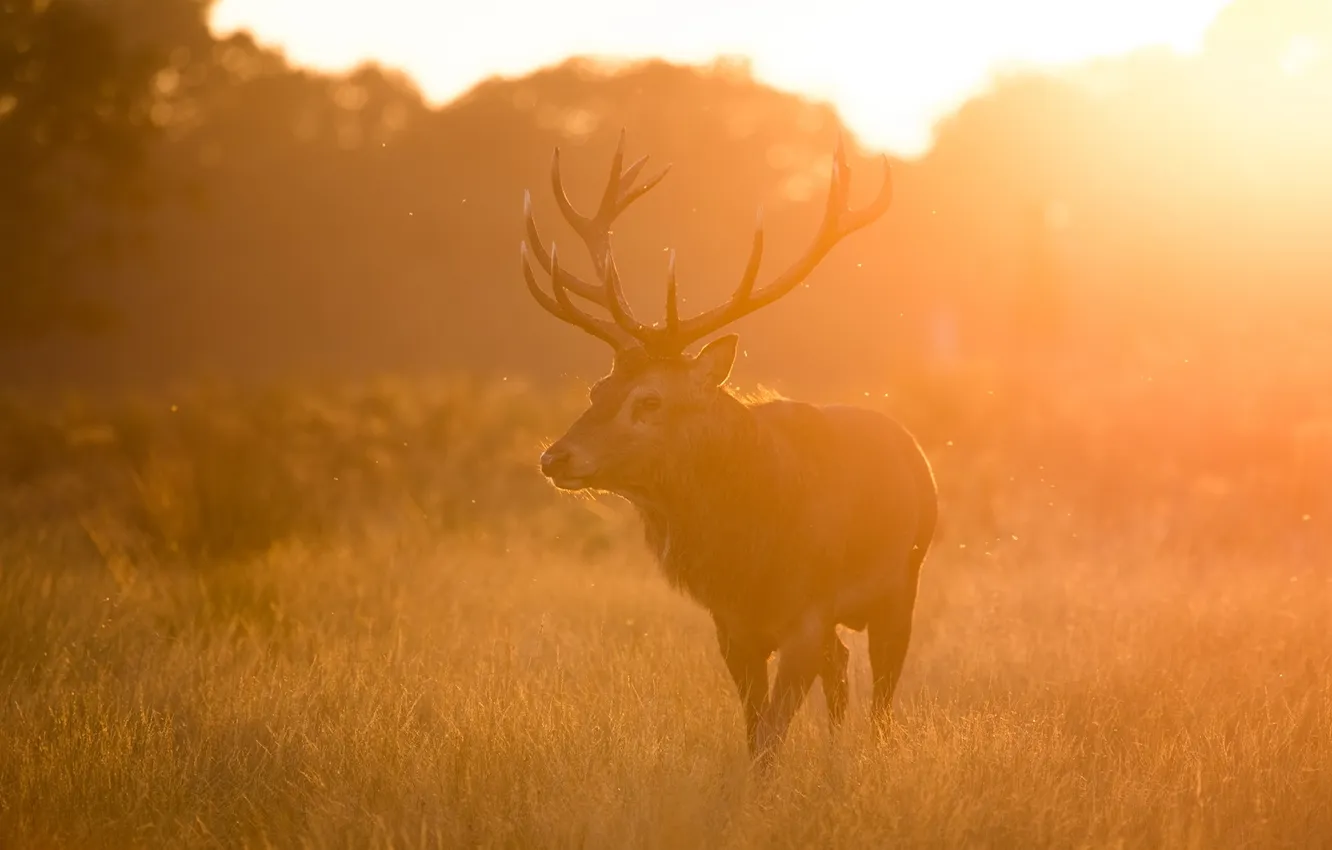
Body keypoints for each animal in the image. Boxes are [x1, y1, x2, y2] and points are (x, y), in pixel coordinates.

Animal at [519, 131, 937, 767]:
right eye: (597, 389)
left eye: (650, 401)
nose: (554, 457)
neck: (749, 558)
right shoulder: (732, 628)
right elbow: (753, 735)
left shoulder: (806, 616)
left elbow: (769, 739)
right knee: (842, 670)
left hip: (903, 581)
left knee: (882, 697)